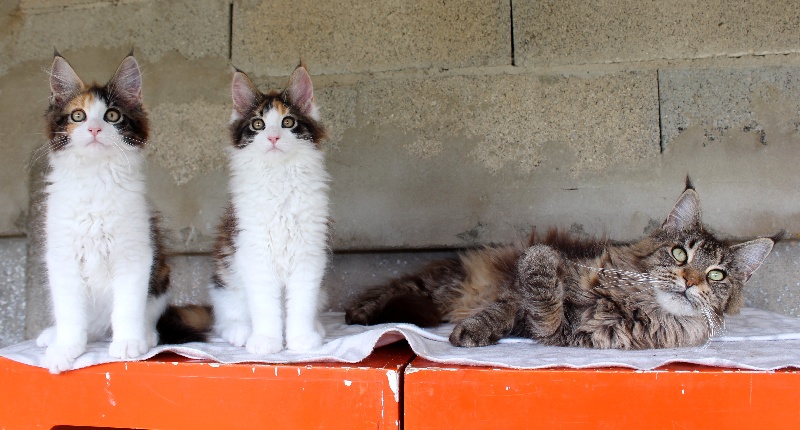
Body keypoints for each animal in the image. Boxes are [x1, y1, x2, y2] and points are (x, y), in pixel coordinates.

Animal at [36, 51, 208, 372]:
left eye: (112, 116)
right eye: (78, 116)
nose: (94, 129)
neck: (95, 179)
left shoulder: (135, 254)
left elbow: (128, 306)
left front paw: (128, 343)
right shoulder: (63, 257)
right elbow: (69, 311)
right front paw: (65, 348)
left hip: (160, 276)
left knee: (145, 314)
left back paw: (146, 335)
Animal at [209, 63, 332, 352]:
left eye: (288, 122)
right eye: (258, 124)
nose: (274, 136)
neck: (280, 179)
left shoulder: (309, 256)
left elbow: (301, 305)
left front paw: (301, 340)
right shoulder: (256, 256)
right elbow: (265, 307)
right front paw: (266, 341)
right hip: (225, 280)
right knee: (226, 319)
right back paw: (241, 332)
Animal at [346, 181, 776, 350]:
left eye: (716, 275)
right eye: (680, 255)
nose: (689, 280)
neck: (638, 304)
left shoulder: (565, 333)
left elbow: (545, 309)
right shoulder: (516, 295)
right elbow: (513, 300)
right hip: (443, 286)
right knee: (394, 288)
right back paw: (359, 313)